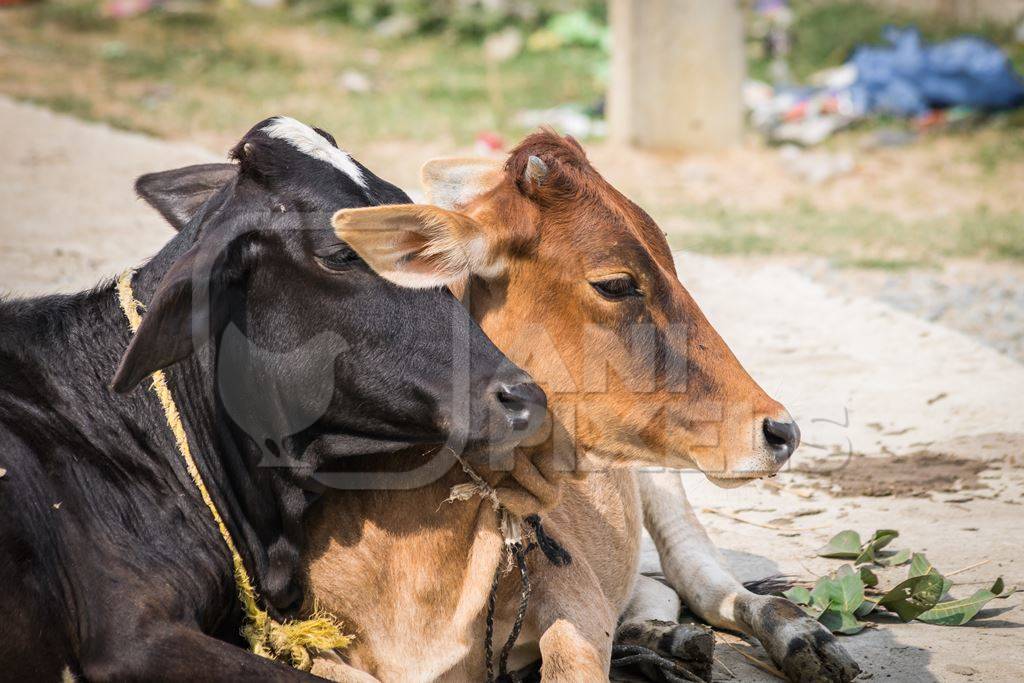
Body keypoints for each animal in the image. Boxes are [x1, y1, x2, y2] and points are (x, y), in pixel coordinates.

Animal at [301, 133, 856, 683]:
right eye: (615, 284)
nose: (781, 431)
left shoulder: (575, 596)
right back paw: (664, 640)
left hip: (660, 487)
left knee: (704, 586)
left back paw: (797, 637)